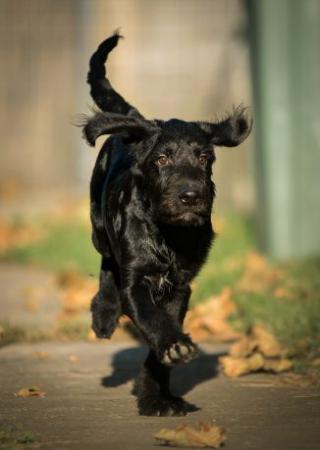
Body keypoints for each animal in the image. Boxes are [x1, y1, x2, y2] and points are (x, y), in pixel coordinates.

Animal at [81, 33, 251, 416]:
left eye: (204, 158)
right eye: (161, 159)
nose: (190, 196)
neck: (167, 236)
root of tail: (137, 120)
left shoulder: (181, 287)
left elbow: (163, 333)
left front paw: (158, 395)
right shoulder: (136, 281)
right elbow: (151, 317)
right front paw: (172, 347)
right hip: (99, 227)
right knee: (106, 262)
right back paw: (104, 313)